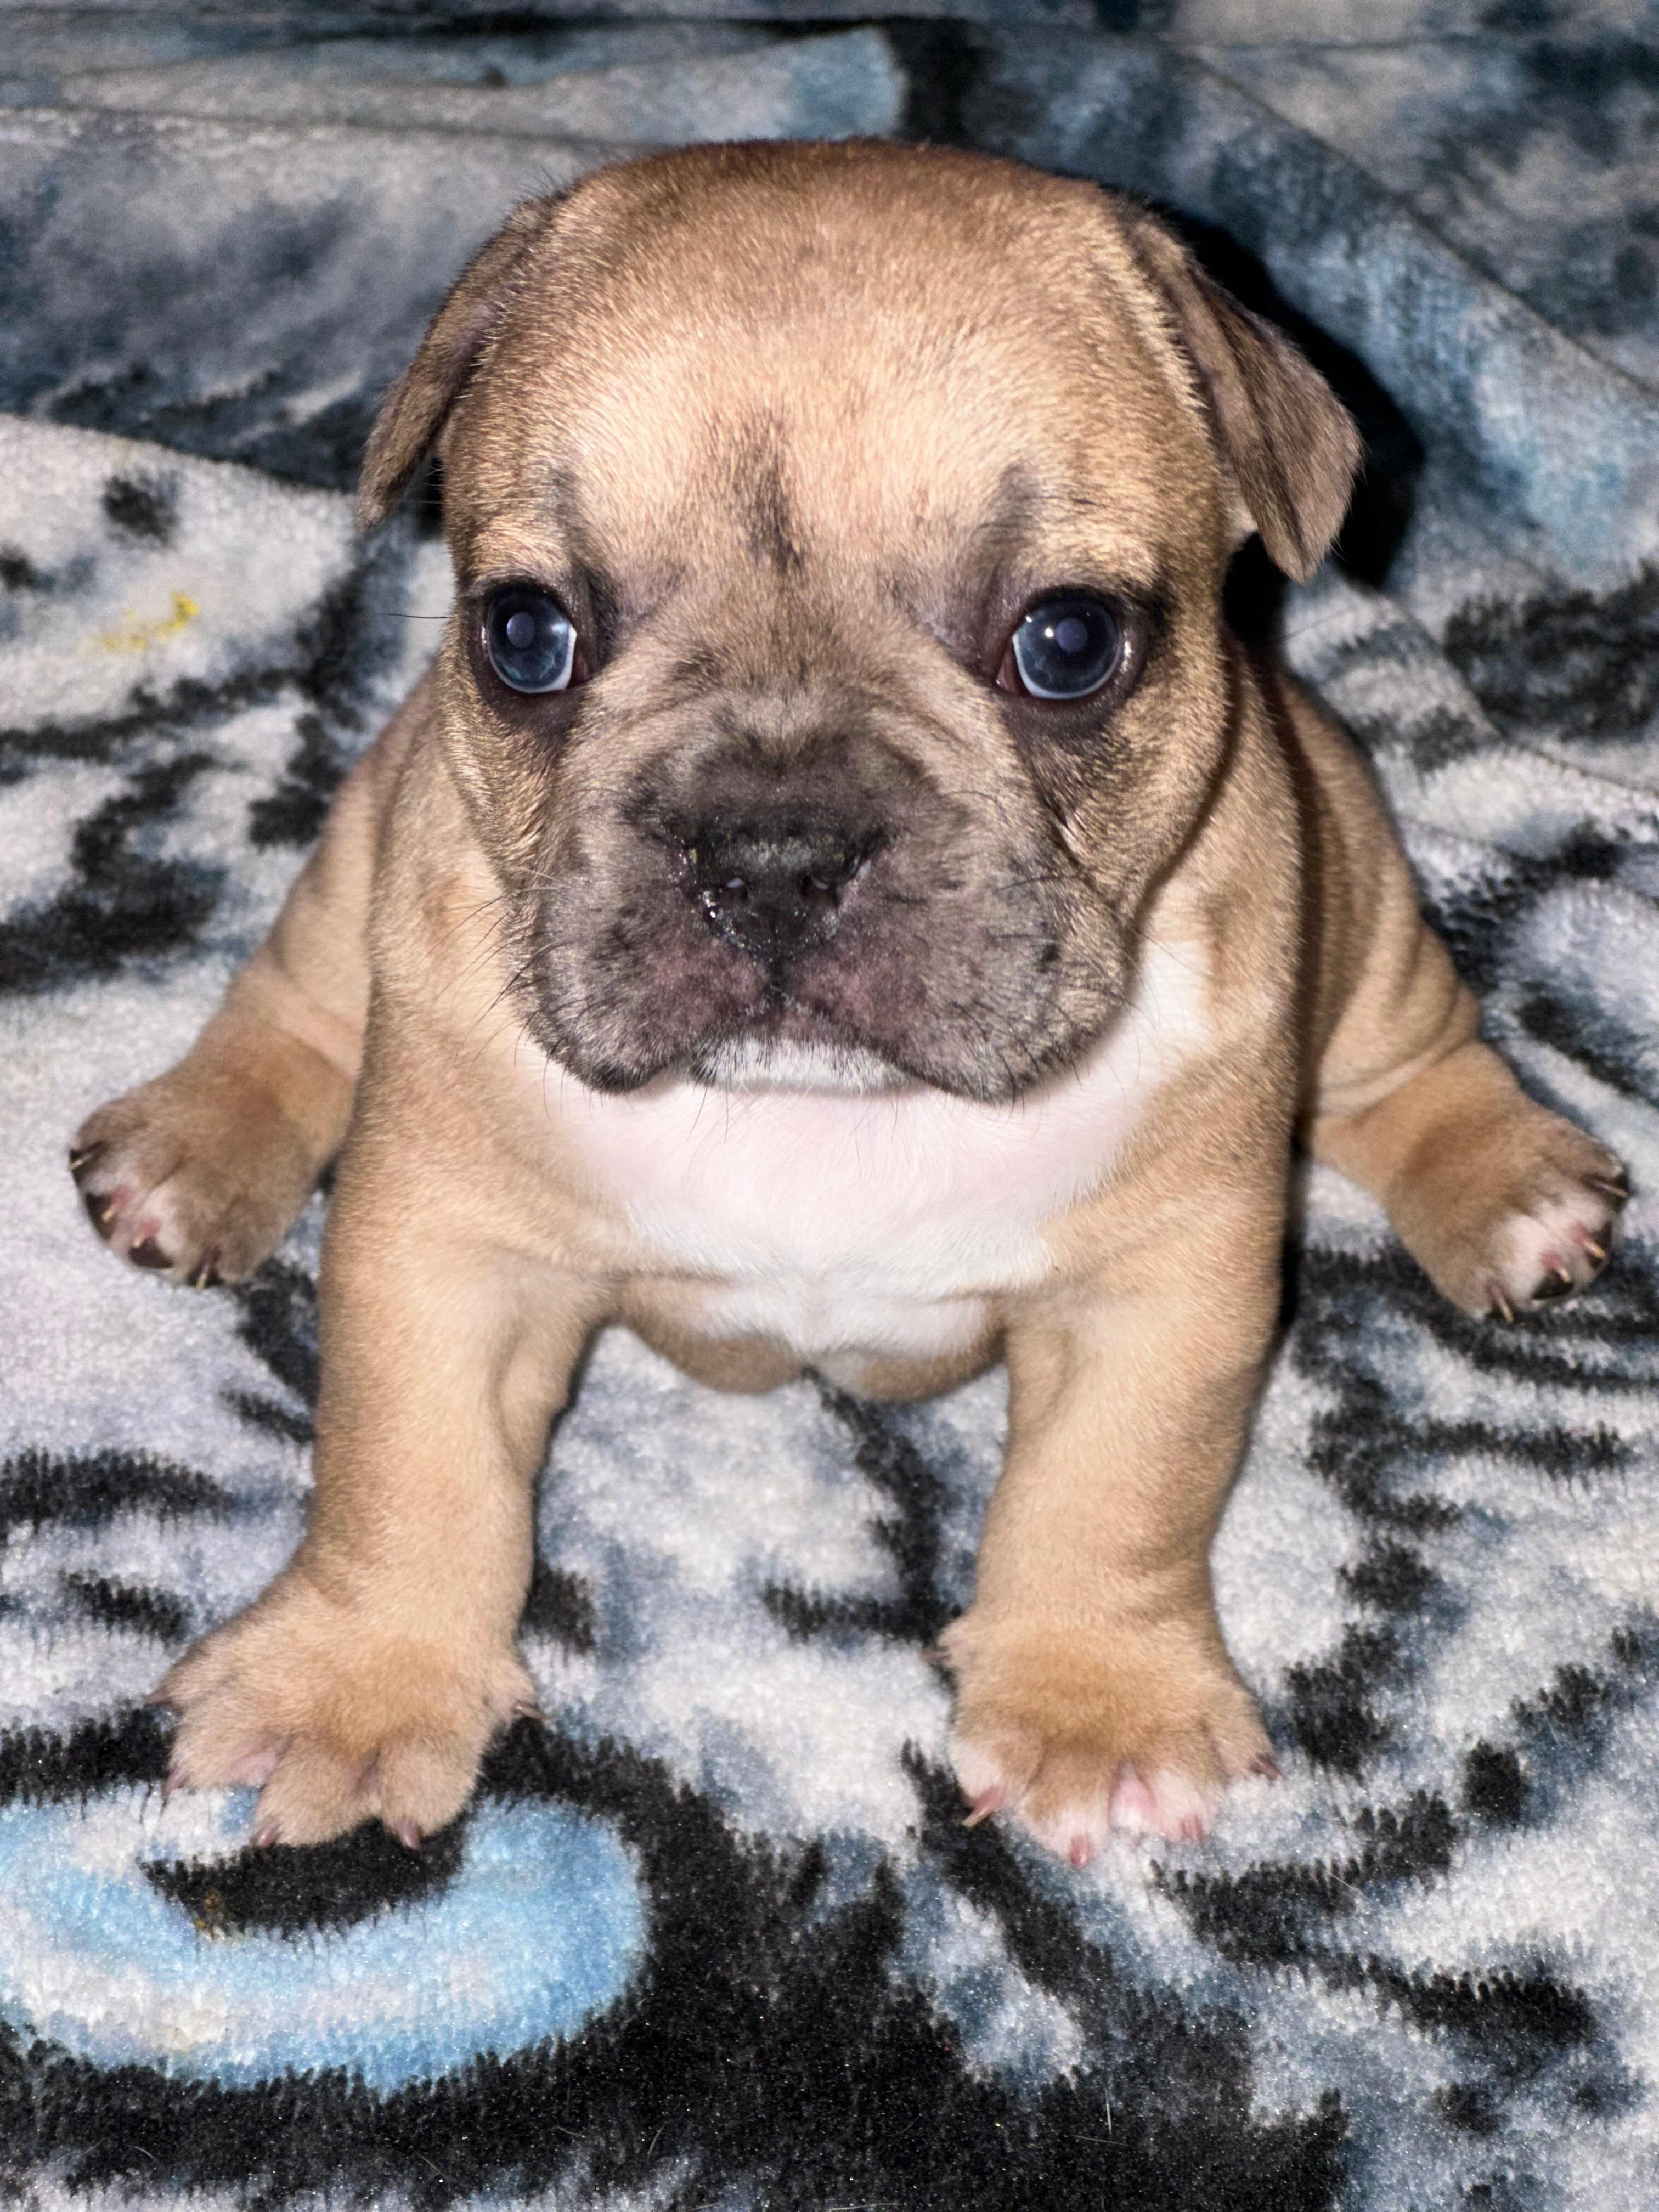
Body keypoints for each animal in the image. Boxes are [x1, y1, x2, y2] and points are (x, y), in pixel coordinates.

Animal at [65, 138, 1628, 1858]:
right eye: (526, 636)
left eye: (1068, 644)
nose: (772, 847)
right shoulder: (445, 1254)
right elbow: (407, 1468)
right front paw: (350, 1681)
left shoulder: (1159, 1290)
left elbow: (1114, 1493)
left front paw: (1097, 1708)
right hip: (362, 843)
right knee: (297, 1006)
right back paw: (191, 1146)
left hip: (1359, 869)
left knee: (1413, 1056)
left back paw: (1509, 1187)